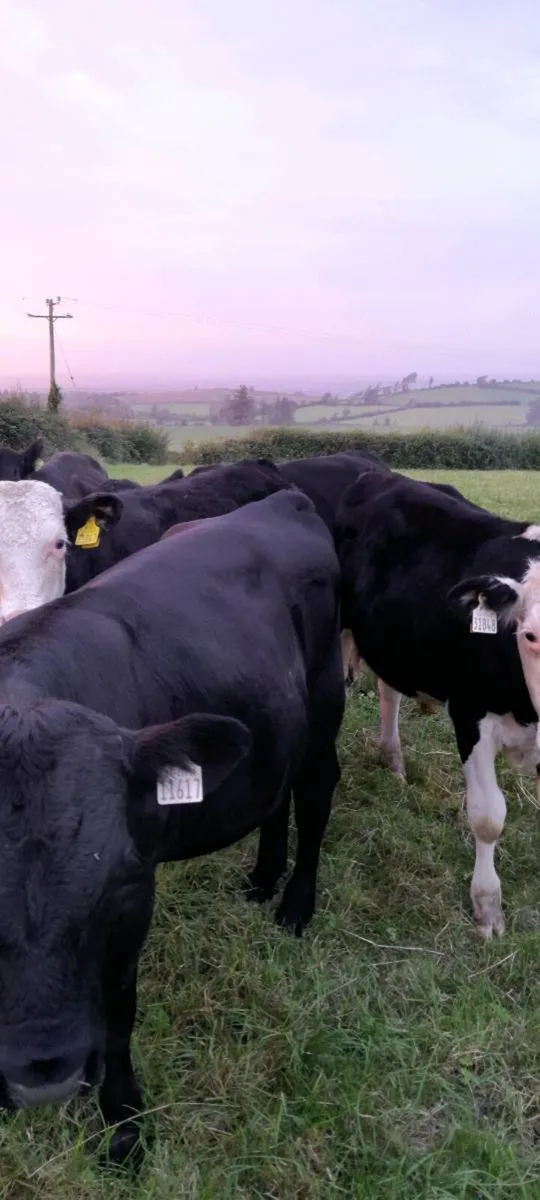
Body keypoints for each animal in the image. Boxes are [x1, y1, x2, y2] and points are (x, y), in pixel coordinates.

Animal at [334, 467, 540, 939]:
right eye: (532, 635)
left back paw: (393, 761)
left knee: (389, 691)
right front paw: (487, 907)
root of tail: (378, 473)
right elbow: (487, 816)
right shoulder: (470, 714)